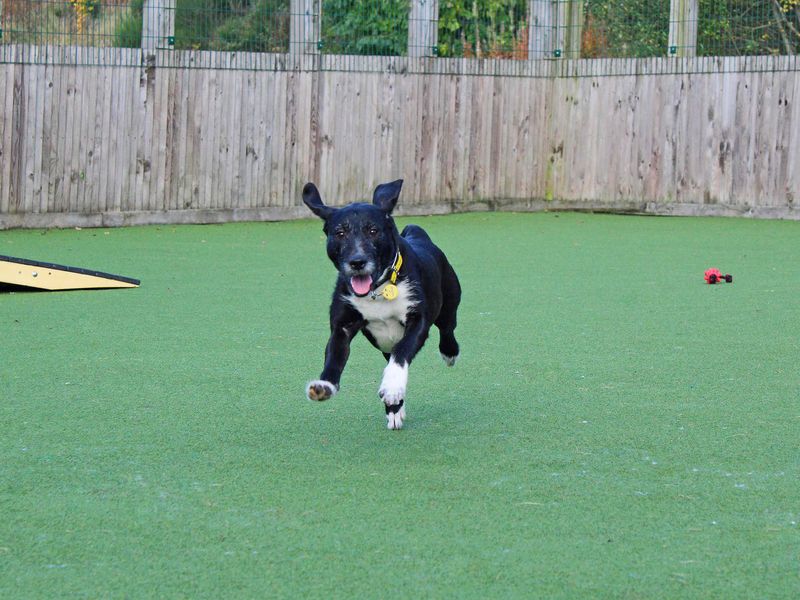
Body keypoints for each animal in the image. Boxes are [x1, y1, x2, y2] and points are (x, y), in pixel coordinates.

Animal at [302, 180, 462, 428]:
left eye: (373, 230)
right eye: (340, 233)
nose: (357, 262)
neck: (377, 291)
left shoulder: (418, 320)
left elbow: (402, 350)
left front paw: (393, 386)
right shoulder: (342, 327)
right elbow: (334, 357)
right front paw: (324, 385)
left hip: (449, 304)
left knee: (447, 330)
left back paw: (449, 353)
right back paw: (395, 410)